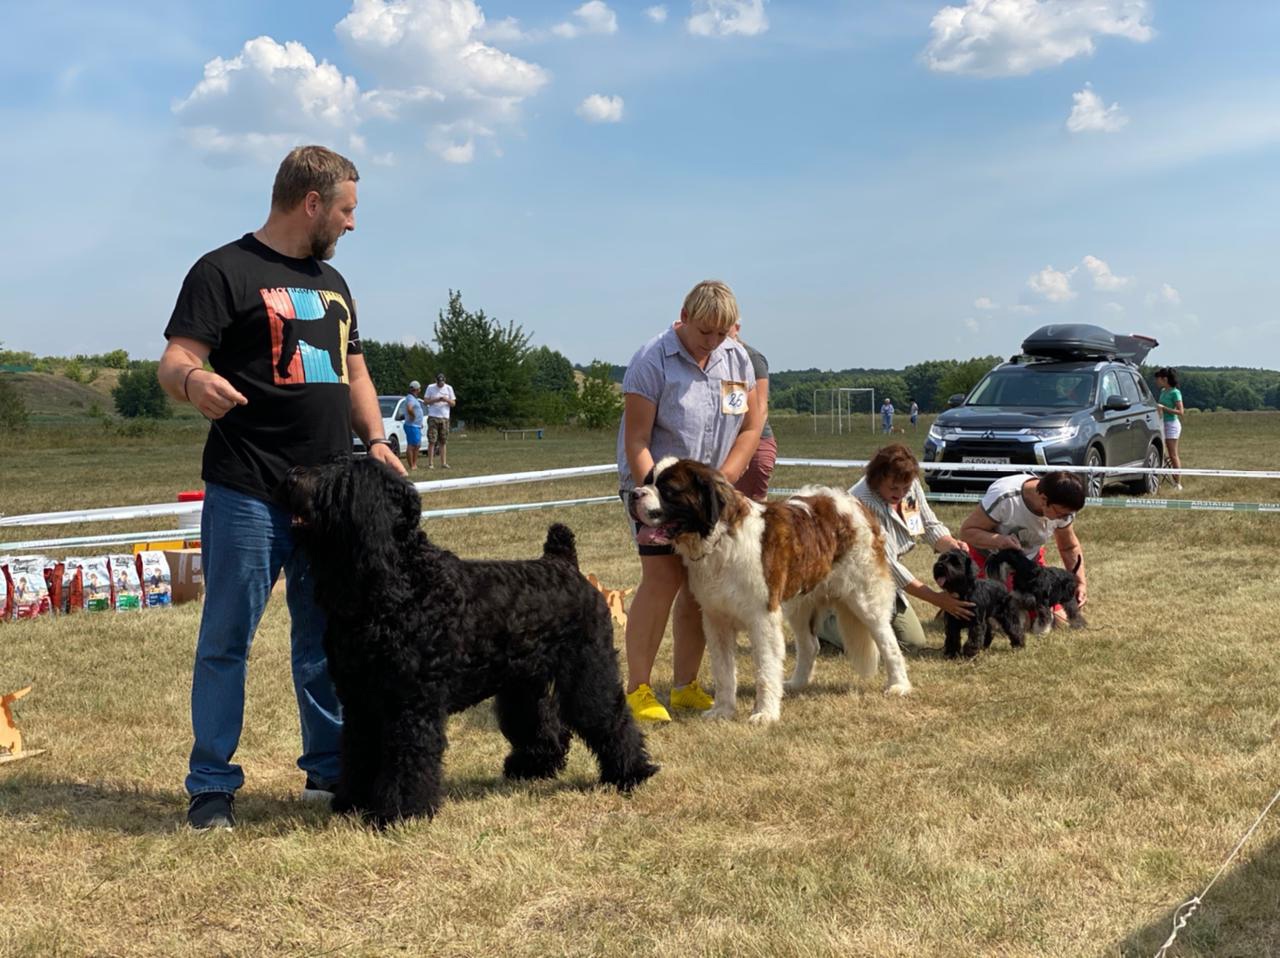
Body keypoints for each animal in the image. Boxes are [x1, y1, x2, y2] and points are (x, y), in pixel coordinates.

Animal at [281, 455, 660, 824]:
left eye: (343, 480)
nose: (292, 475)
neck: (400, 583)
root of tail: (563, 561)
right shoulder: (361, 702)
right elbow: (359, 751)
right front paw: (352, 801)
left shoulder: (410, 704)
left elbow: (408, 757)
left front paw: (401, 811)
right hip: (523, 685)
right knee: (541, 723)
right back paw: (533, 766)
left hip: (588, 672)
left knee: (609, 718)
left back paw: (631, 772)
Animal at [627, 455, 911, 717]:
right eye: (647, 481)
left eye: (669, 490)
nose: (633, 493)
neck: (721, 540)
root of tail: (854, 503)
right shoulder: (716, 620)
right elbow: (723, 670)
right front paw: (723, 710)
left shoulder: (761, 618)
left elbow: (765, 668)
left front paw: (765, 713)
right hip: (801, 602)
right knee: (810, 645)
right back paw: (796, 684)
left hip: (864, 598)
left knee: (888, 642)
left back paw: (899, 685)